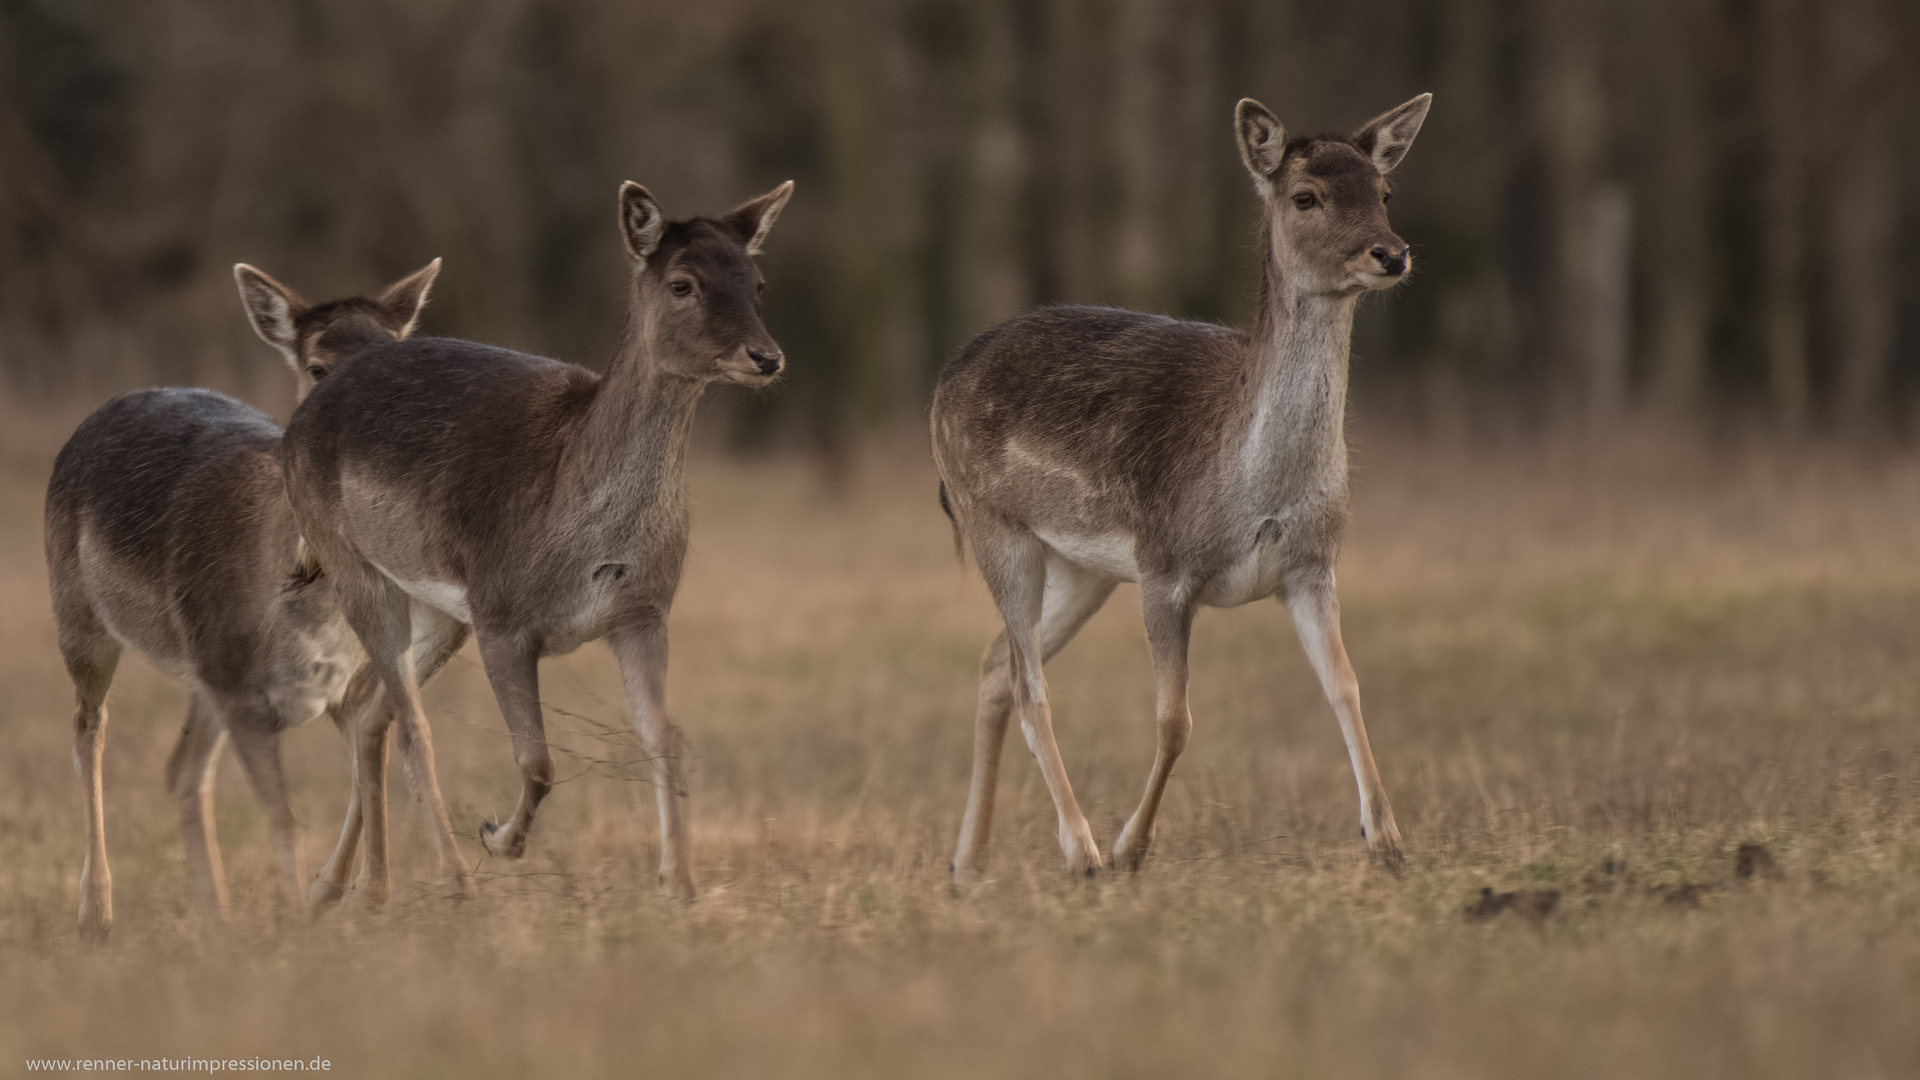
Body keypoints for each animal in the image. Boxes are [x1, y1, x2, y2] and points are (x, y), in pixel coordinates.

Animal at [51, 259, 445, 933]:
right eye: (317, 366)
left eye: (397, 358)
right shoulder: (237, 686)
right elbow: (286, 818)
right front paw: (304, 923)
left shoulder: (339, 683)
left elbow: (368, 770)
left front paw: (337, 895)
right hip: (80, 616)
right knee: (88, 730)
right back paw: (96, 914)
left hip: (201, 669)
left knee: (182, 769)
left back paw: (218, 918)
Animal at [280, 178, 791, 899]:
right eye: (683, 283)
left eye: (759, 281)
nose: (766, 356)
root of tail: (294, 422)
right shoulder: (502, 614)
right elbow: (538, 757)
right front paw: (499, 839)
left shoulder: (644, 611)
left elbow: (663, 735)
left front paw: (680, 885)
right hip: (352, 563)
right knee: (402, 717)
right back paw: (400, 886)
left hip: (439, 609)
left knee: (364, 706)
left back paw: (335, 888)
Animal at [929, 92, 1428, 880]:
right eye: (1305, 196)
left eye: (1384, 192)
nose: (1391, 252)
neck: (1251, 489)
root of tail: (939, 384)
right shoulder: (1165, 567)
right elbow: (1174, 720)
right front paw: (1131, 847)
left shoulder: (1312, 564)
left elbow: (1346, 686)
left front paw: (1388, 841)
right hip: (993, 526)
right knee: (1032, 686)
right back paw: (1081, 850)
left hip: (1084, 567)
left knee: (995, 666)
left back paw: (968, 862)